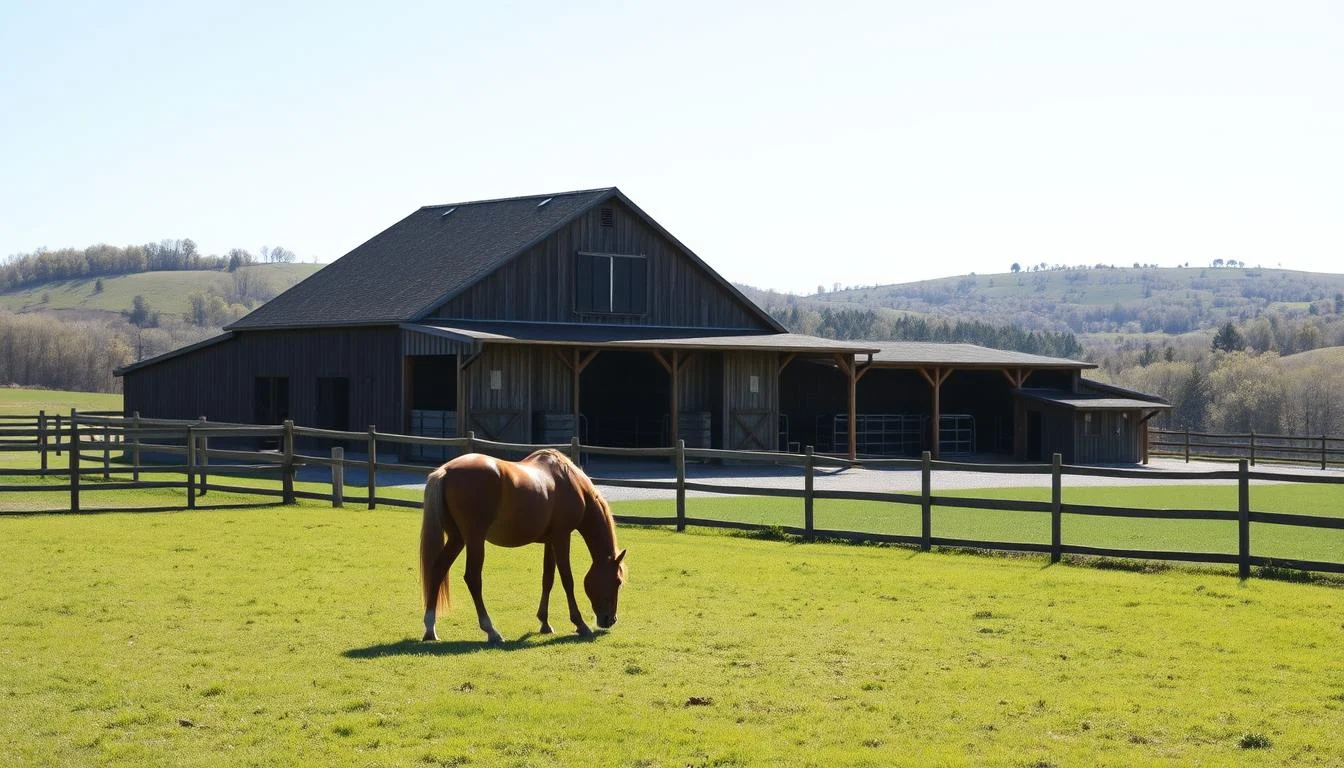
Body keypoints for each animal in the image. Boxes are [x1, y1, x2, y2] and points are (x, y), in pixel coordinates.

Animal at [419, 448, 626, 644]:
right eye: (618, 581)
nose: (610, 620)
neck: (571, 482)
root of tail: (446, 471)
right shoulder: (562, 537)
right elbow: (567, 580)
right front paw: (580, 624)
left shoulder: (550, 540)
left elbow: (548, 578)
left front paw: (545, 623)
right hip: (474, 539)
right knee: (473, 578)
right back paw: (491, 631)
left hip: (457, 538)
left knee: (438, 569)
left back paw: (430, 628)